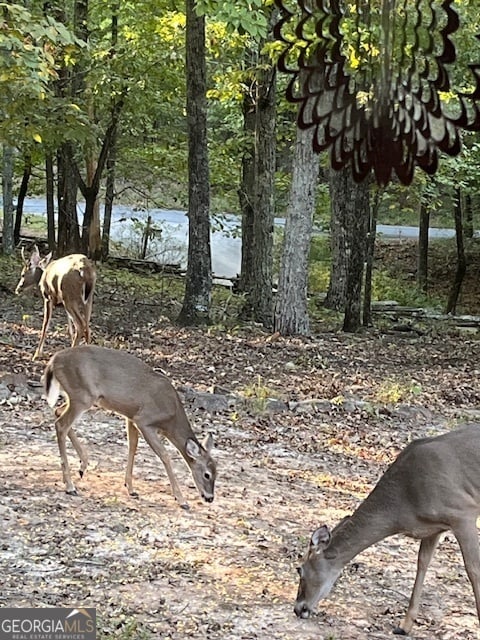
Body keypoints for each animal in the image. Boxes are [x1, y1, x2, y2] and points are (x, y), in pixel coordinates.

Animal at [43, 344, 216, 510]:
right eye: (207, 474)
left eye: (217, 472)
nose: (210, 498)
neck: (171, 417)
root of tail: (54, 360)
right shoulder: (144, 420)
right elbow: (164, 455)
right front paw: (181, 500)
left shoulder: (131, 417)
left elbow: (132, 446)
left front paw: (130, 488)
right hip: (83, 396)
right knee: (61, 424)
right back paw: (70, 486)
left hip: (79, 397)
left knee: (58, 412)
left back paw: (82, 466)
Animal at [294, 424, 480, 636]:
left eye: (300, 569)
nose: (298, 609)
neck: (404, 504)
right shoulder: (433, 529)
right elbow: (422, 564)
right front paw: (404, 626)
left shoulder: (462, 512)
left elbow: (473, 569)